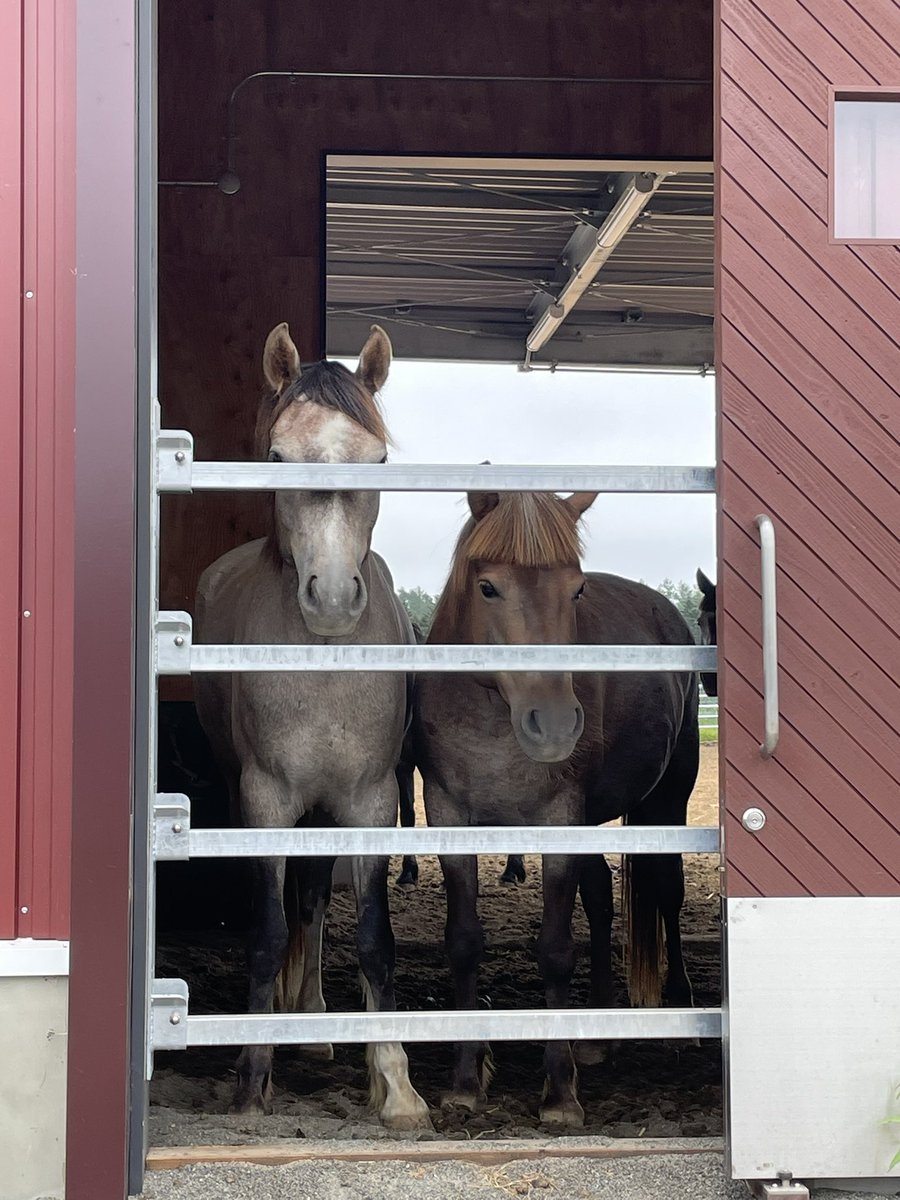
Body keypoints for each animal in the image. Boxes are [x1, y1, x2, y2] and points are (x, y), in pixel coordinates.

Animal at [194, 322, 430, 1130]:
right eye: (276, 456)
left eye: (379, 459)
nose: (330, 598)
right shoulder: (264, 801)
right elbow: (267, 932)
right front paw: (251, 1073)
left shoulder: (371, 801)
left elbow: (373, 935)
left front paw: (395, 1083)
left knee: (317, 898)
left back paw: (319, 1023)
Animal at [413, 490, 699, 1126]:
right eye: (488, 587)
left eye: (577, 590)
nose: (555, 723)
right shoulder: (447, 813)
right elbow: (463, 941)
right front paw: (465, 1081)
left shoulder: (559, 818)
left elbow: (554, 950)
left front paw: (560, 1091)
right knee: (600, 899)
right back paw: (595, 1029)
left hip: (668, 800)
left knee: (667, 893)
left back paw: (683, 1009)